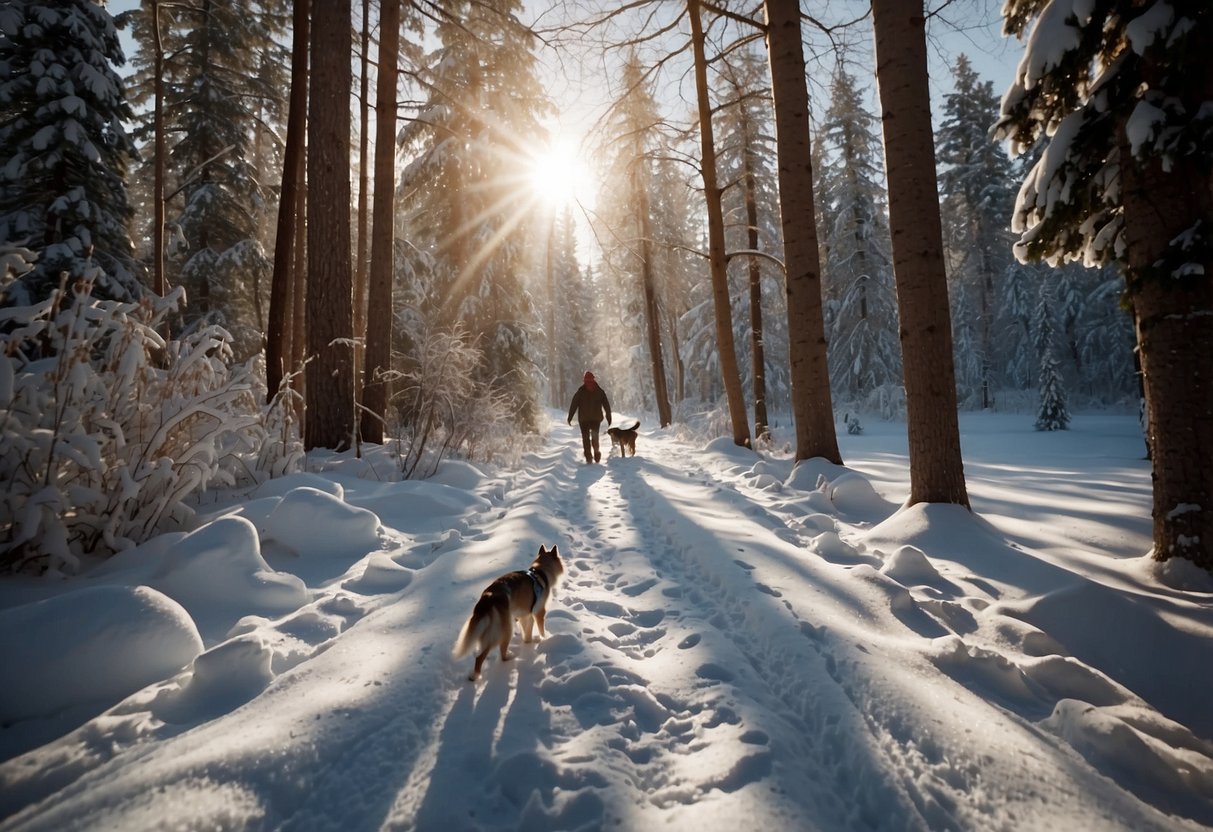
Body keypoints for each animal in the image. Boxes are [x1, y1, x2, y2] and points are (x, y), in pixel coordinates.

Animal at [453, 543, 565, 679]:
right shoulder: (539, 613)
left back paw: (474, 676)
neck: (540, 572)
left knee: (479, 656)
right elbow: (541, 630)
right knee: (497, 654)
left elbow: (527, 633)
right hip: (504, 630)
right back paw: (508, 659)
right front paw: (545, 639)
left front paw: (528, 643)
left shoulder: (525, 615)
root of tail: (487, 597)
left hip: (486, 633)